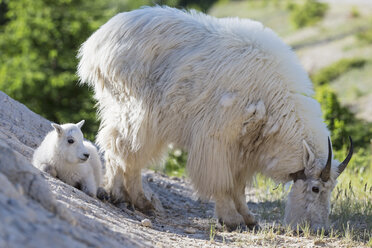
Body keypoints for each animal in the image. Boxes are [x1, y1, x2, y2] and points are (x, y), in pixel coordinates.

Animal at [77, 5, 352, 231]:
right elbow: (220, 181)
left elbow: (239, 186)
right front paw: (230, 219)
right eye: (315, 188)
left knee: (118, 147)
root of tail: (94, 44)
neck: (274, 102)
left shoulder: (244, 148)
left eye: (331, 189)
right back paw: (137, 199)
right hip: (135, 110)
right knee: (124, 149)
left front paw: (249, 218)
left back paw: (121, 194)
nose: (318, 229)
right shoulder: (217, 139)